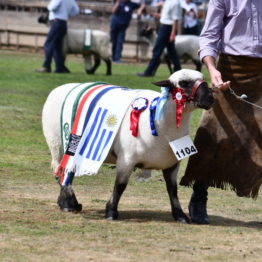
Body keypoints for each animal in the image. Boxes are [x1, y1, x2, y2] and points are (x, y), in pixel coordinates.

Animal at [41, 68, 213, 223]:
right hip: (59, 144)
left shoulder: (172, 164)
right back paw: (68, 203)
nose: (210, 97)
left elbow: (172, 190)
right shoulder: (126, 160)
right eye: (184, 83)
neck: (161, 125)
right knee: (61, 172)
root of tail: (58, 89)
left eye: (202, 78)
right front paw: (111, 211)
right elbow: (120, 186)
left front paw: (180, 215)